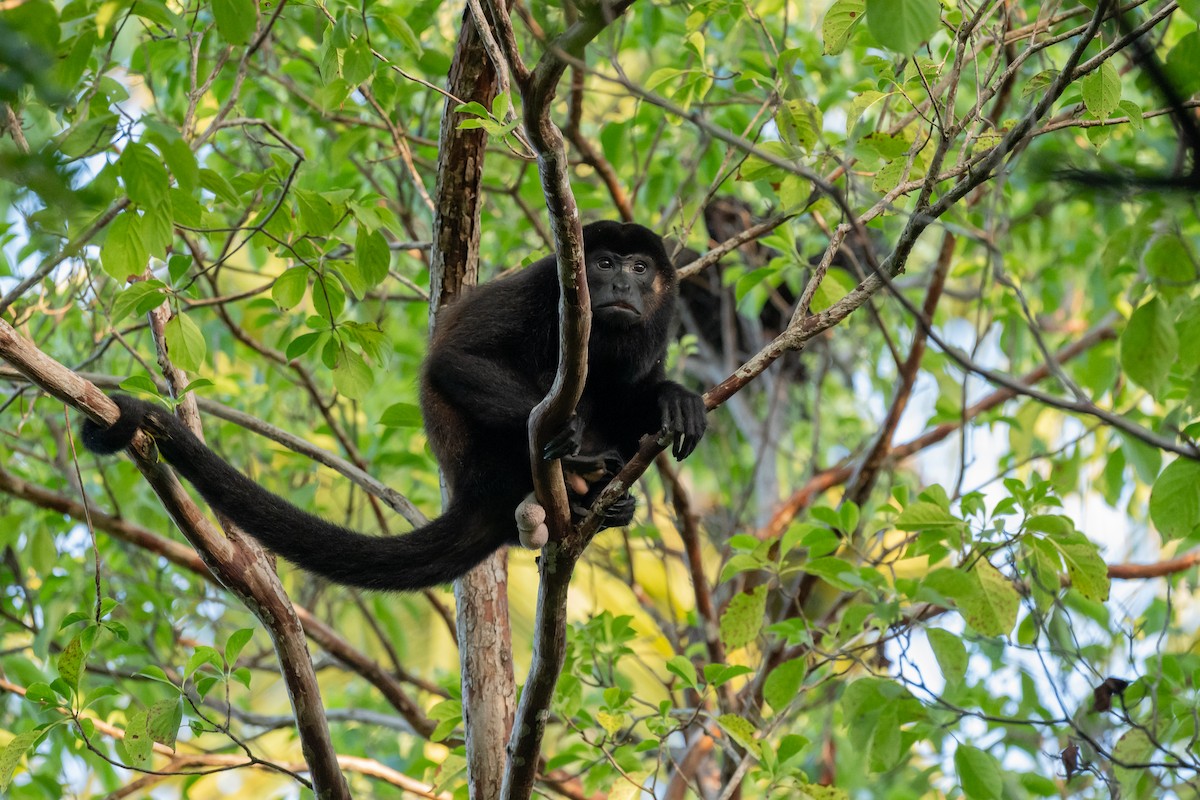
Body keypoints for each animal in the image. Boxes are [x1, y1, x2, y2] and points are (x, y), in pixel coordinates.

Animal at [81, 221, 707, 592]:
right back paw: (572, 479)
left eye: (640, 268)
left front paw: (676, 398)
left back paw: (603, 499)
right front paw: (571, 437)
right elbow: (455, 359)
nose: (622, 287)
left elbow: (638, 392)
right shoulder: (542, 288)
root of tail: (475, 493)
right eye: (603, 264)